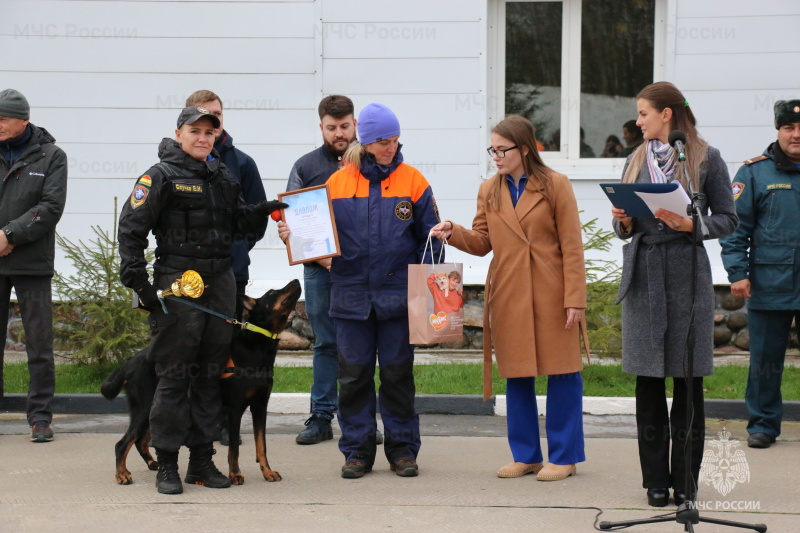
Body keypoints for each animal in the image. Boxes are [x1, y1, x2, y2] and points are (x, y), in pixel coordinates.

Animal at [99, 280, 300, 484]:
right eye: (273, 292)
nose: (296, 281)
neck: (257, 347)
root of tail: (128, 363)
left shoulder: (260, 406)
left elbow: (262, 445)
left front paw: (267, 472)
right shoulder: (235, 409)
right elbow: (234, 449)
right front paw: (235, 474)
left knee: (140, 441)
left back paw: (152, 464)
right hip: (144, 408)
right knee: (122, 444)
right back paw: (122, 474)